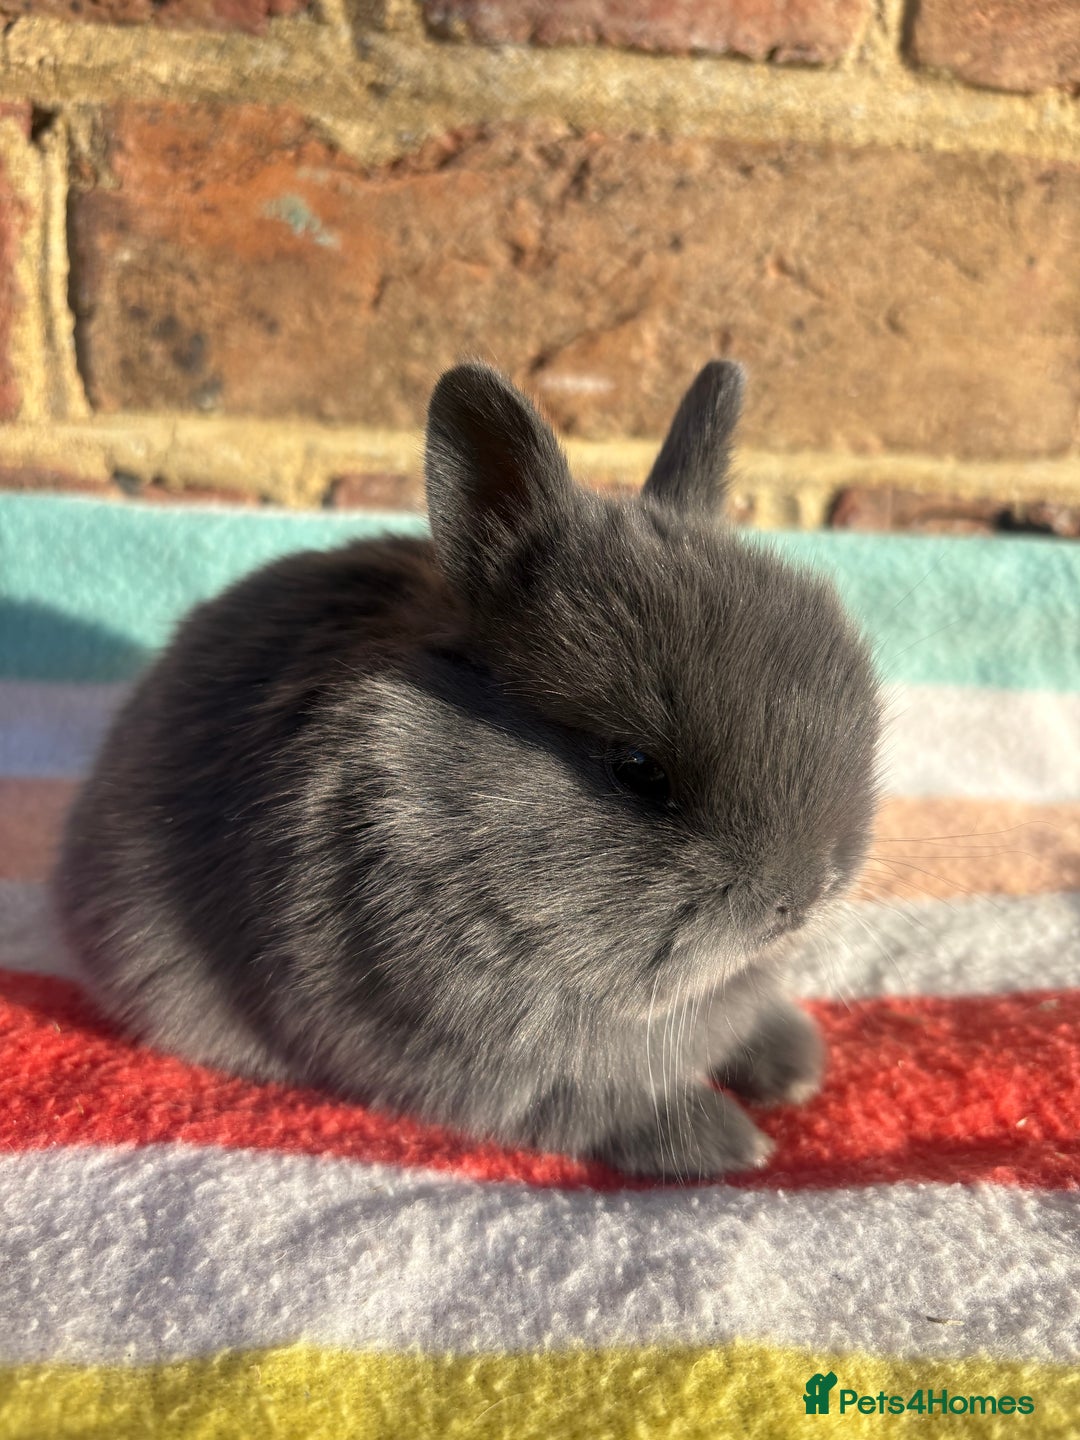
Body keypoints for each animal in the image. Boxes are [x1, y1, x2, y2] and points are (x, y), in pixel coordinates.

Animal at [54, 360, 881, 1180]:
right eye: (638, 770)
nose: (801, 897)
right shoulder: (473, 1064)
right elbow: (587, 1108)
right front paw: (728, 1141)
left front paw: (796, 1064)